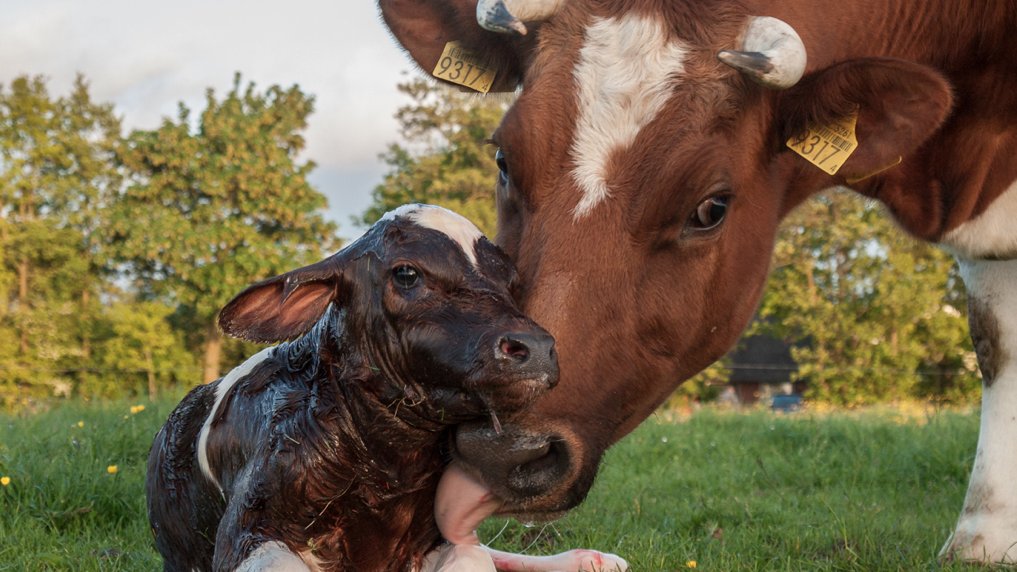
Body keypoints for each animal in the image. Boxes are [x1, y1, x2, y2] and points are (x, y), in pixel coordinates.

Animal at [378, 0, 1016, 561]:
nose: (502, 448)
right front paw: (983, 537)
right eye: (504, 162)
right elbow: (994, 342)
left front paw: (983, 537)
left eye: (710, 208)